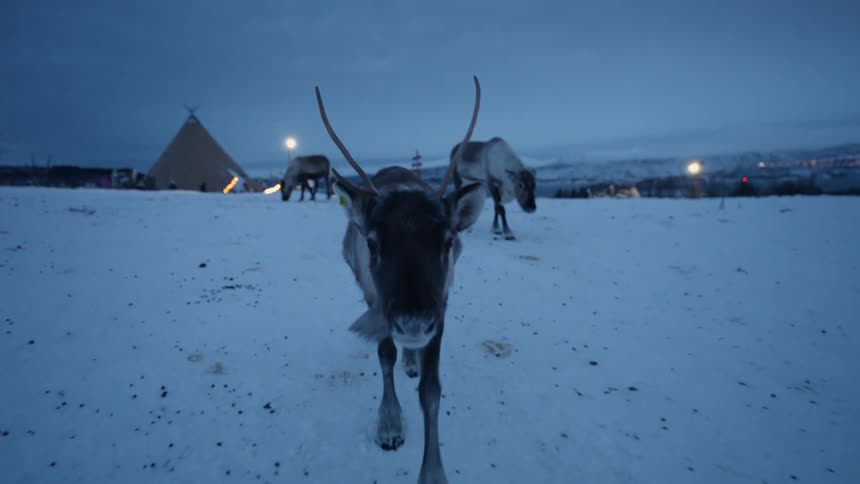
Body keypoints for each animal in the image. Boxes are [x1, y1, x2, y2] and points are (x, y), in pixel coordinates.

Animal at [316, 76, 483, 484]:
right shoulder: (374, 297)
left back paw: (412, 358)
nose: (412, 322)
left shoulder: (441, 303)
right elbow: (384, 355)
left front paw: (434, 472)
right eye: (373, 242)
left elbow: (431, 391)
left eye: (448, 240)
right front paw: (389, 424)